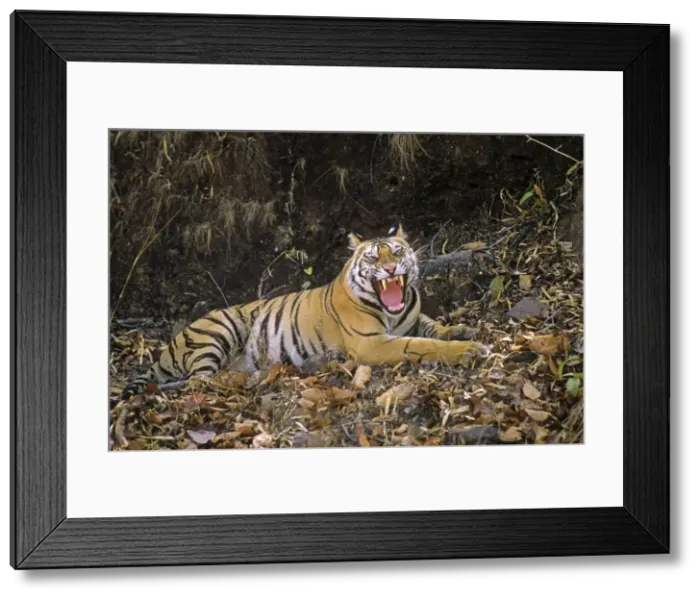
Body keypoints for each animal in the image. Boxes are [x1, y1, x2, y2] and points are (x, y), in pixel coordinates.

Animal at [121, 223, 489, 399]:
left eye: (397, 251)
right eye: (373, 258)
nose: (391, 268)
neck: (393, 311)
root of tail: (167, 347)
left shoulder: (412, 319)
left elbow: (433, 328)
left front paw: (463, 330)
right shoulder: (372, 342)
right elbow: (422, 345)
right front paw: (468, 349)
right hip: (220, 329)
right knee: (202, 380)